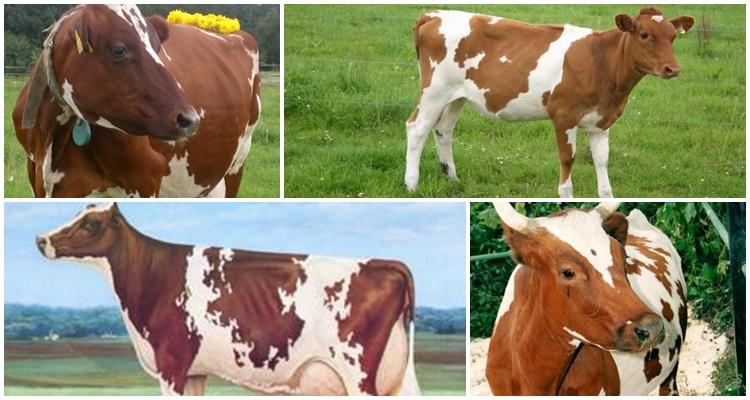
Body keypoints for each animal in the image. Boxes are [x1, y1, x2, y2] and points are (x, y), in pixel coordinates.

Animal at [13, 4, 261, 198]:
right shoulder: (38, 177)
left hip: (237, 163)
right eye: (119, 50)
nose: (190, 119)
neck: (53, 140)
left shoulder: (145, 177)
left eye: (158, 48)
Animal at [35, 203, 420, 395]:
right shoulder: (193, 372)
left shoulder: (172, 364)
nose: (41, 239)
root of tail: (382, 263)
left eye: (90, 224)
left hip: (359, 374)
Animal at [406, 8, 694, 197]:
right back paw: (411, 184)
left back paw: (452, 178)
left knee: (443, 130)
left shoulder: (601, 122)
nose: (673, 68)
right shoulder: (564, 116)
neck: (601, 61)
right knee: (417, 129)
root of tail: (433, 14)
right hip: (434, 91)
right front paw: (566, 198)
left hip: (457, 96)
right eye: (644, 34)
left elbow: (602, 161)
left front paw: (606, 197)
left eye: (673, 36)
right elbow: (568, 159)